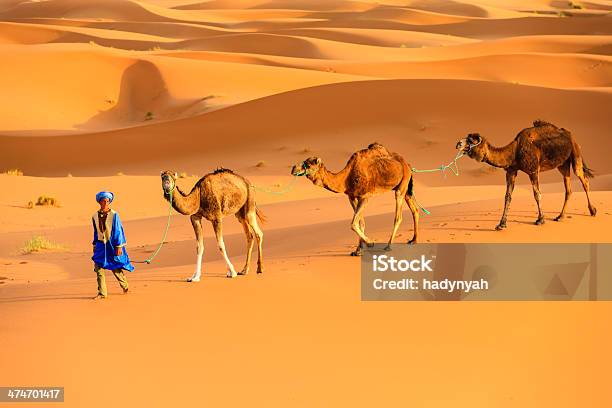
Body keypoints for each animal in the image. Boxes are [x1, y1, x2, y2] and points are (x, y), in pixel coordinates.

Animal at [456, 119, 596, 231]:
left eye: (470, 140)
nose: (458, 143)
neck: (514, 151)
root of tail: (571, 136)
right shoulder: (511, 171)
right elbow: (507, 196)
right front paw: (501, 224)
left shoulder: (533, 170)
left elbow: (537, 194)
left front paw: (540, 219)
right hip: (562, 164)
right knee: (568, 188)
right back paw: (560, 216)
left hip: (575, 154)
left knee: (584, 180)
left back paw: (592, 210)